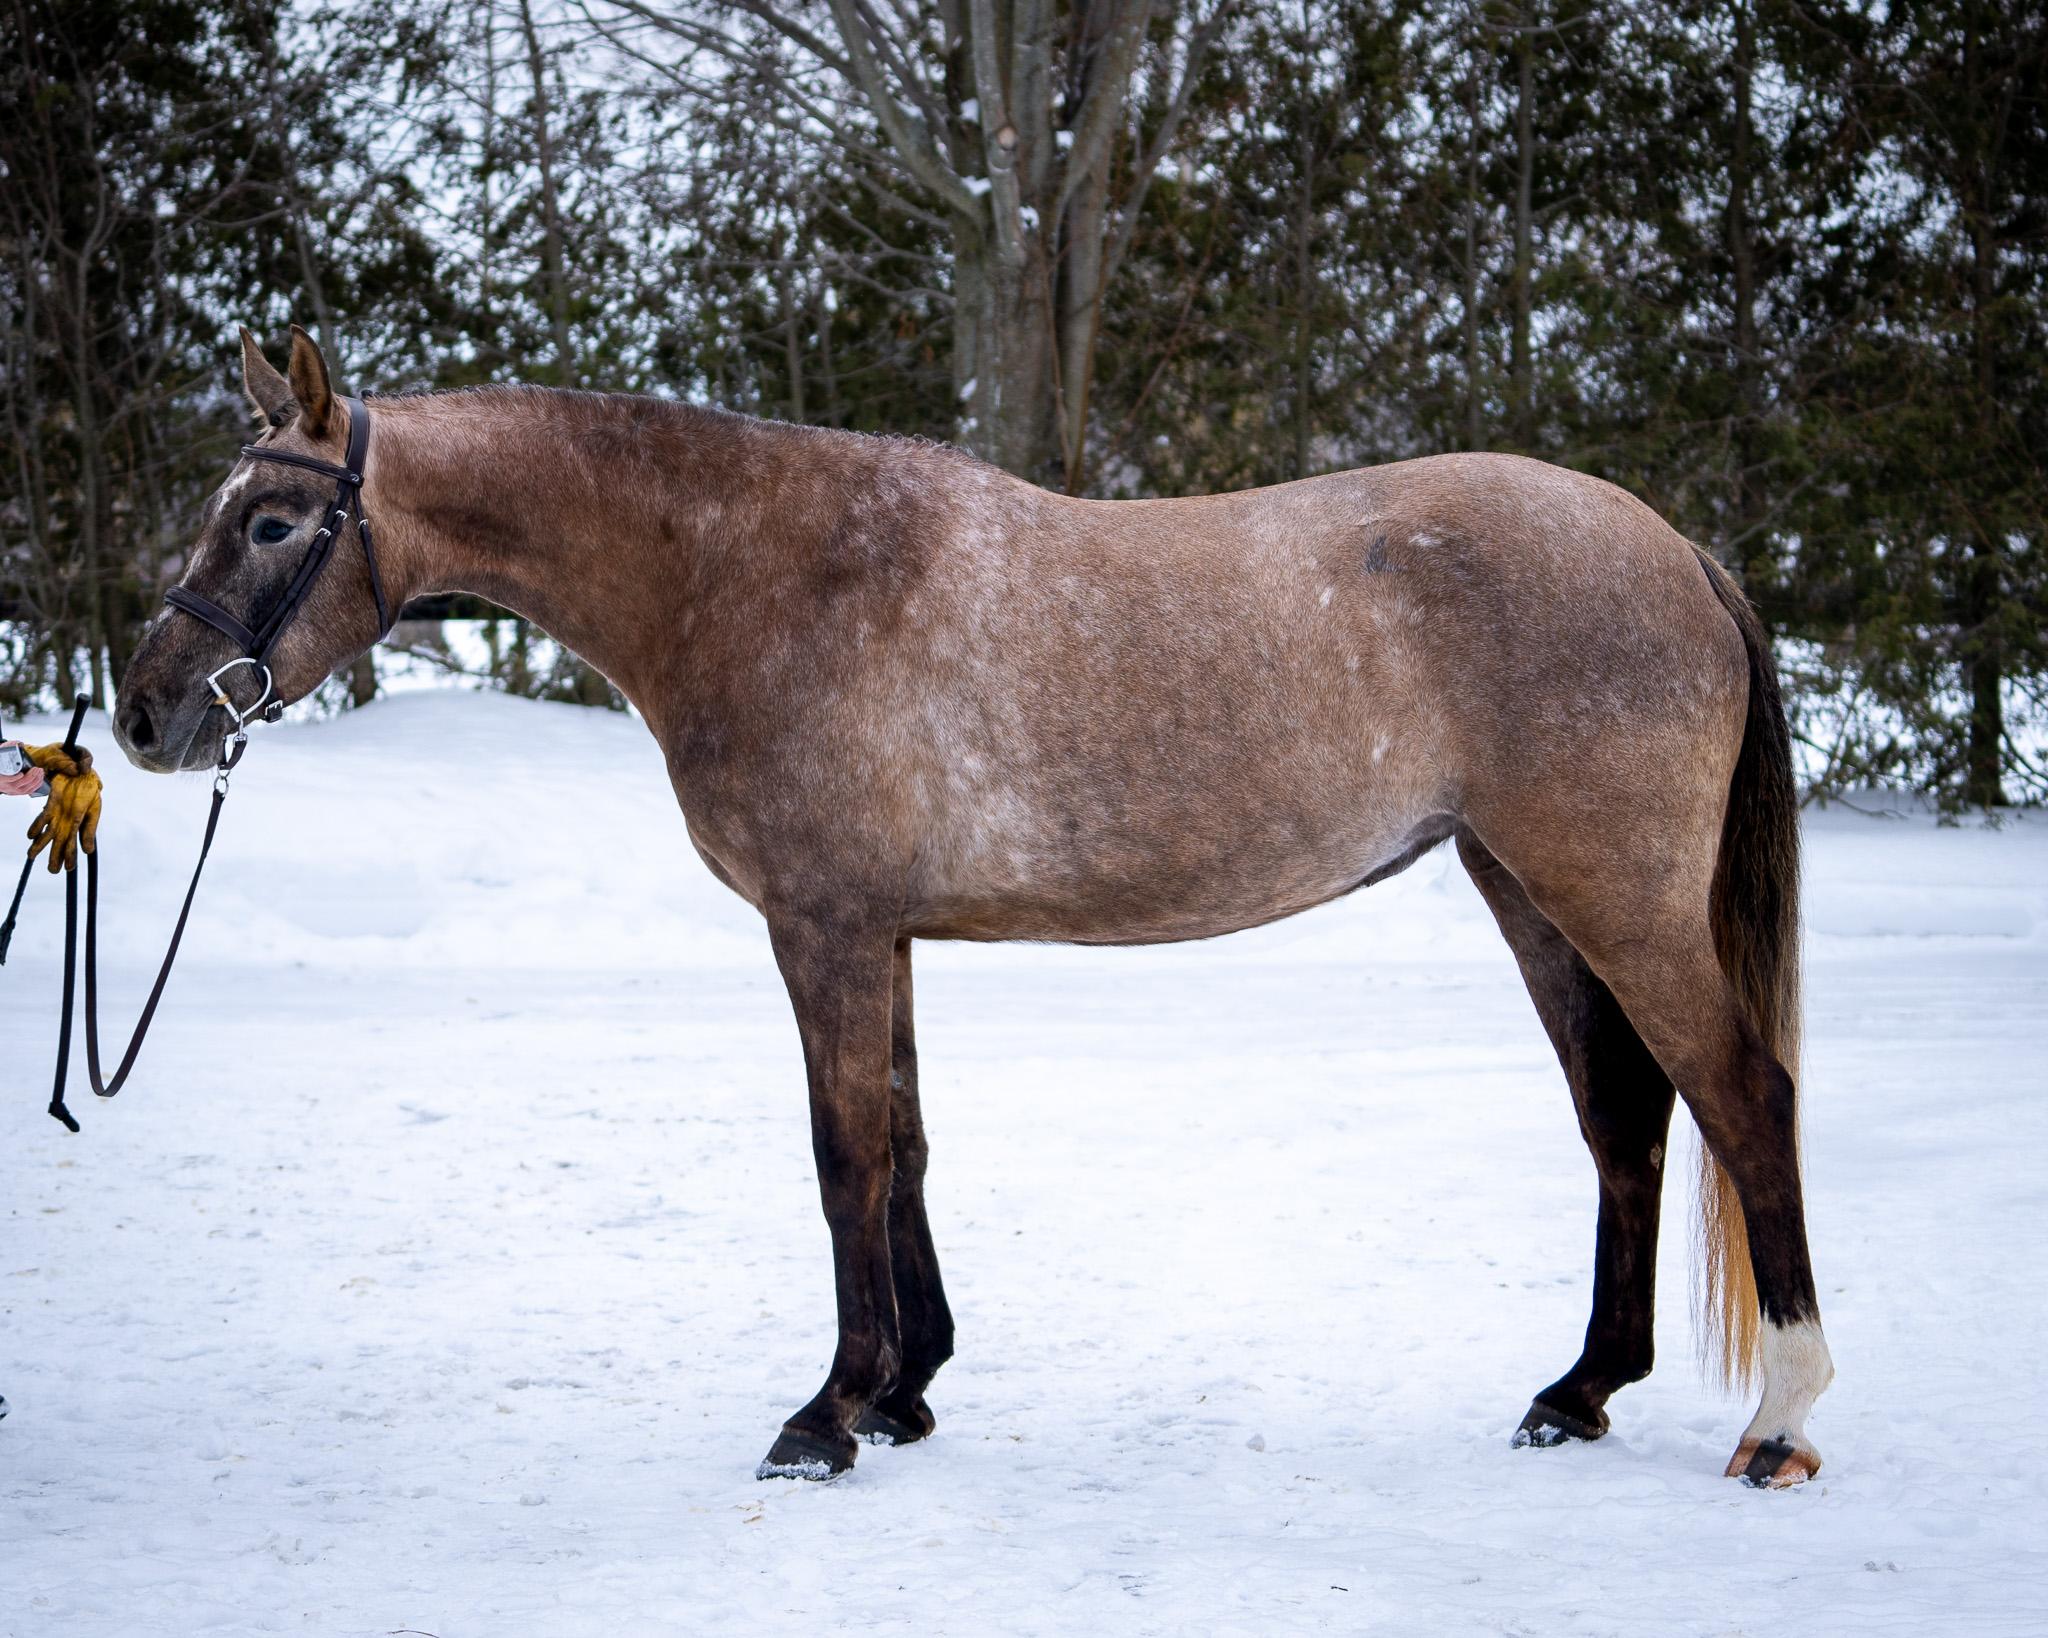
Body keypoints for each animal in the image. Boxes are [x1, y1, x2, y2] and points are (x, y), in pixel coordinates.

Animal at [112, 326, 1832, 1486]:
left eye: (271, 521)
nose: (142, 713)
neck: (754, 572)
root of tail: (1674, 546)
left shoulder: (818, 926)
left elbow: (843, 1157)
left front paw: (823, 1415)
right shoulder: (881, 932)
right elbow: (906, 1140)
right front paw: (905, 1387)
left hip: (1610, 894)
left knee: (1742, 1097)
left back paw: (1780, 1416)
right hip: (1528, 890)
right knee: (1627, 1119)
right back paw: (1580, 1390)